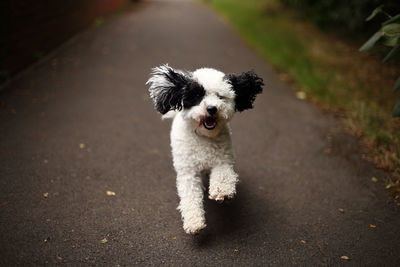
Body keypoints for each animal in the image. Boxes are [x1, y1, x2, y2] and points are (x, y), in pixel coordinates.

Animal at [146, 64, 262, 234]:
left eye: (220, 97)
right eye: (197, 95)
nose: (212, 108)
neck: (204, 137)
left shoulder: (223, 160)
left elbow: (223, 175)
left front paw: (222, 191)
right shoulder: (188, 172)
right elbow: (190, 196)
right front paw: (194, 222)